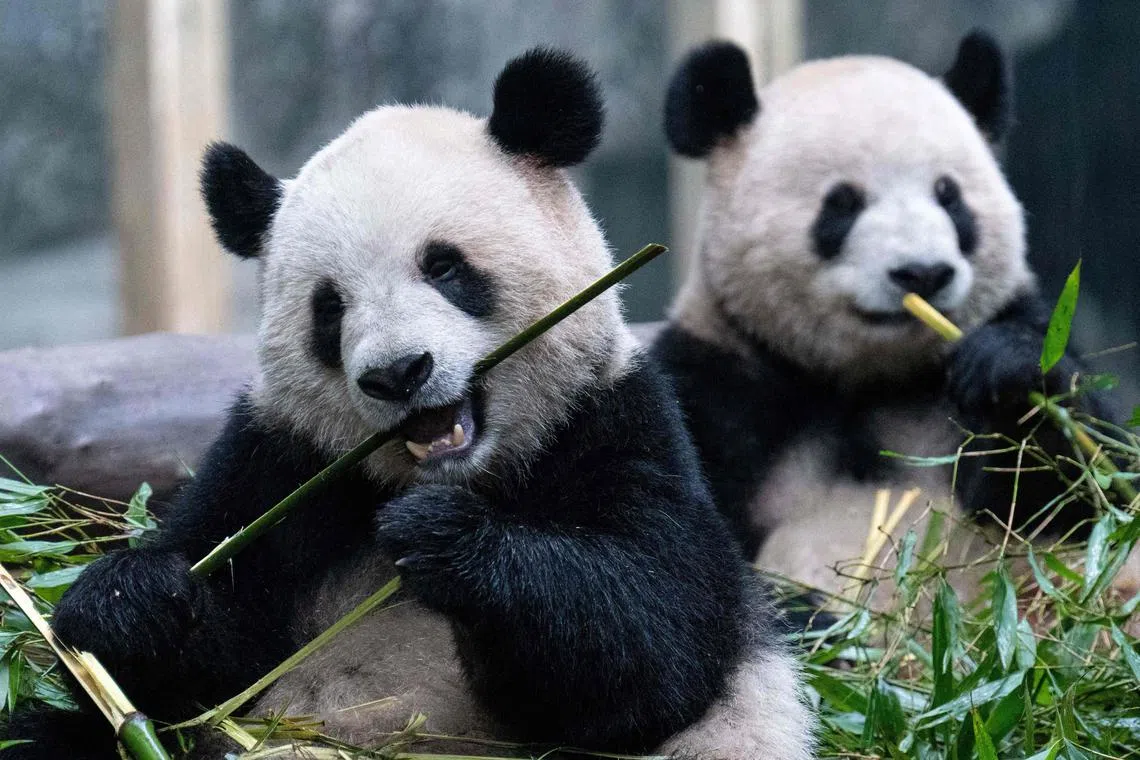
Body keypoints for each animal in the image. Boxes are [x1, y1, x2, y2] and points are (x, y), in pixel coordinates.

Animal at [5, 50, 815, 760]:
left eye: (445, 266)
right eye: (330, 308)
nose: (398, 374)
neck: (459, 473)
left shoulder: (615, 421)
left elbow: (652, 650)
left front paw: (445, 539)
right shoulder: (283, 460)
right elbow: (211, 655)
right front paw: (126, 603)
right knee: (45, 736)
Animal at [651, 32, 1119, 601]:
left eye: (949, 196)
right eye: (843, 203)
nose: (923, 273)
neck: (870, 379)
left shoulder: (1027, 324)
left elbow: (1074, 501)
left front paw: (1008, 371)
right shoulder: (716, 383)